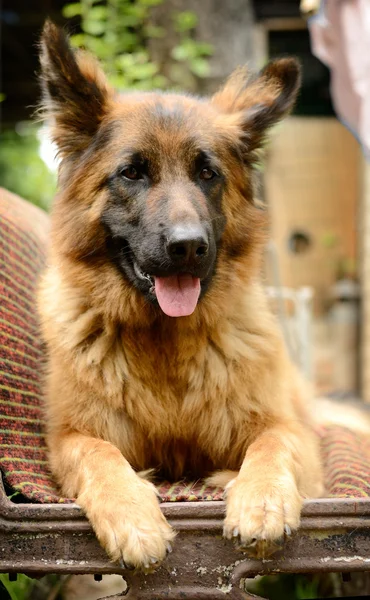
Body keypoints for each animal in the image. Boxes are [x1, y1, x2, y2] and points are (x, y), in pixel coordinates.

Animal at [38, 21, 324, 568]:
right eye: (132, 172)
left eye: (207, 173)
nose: (188, 246)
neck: (164, 342)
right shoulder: (71, 436)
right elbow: (100, 454)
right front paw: (132, 515)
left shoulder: (287, 429)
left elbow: (272, 444)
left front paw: (261, 500)